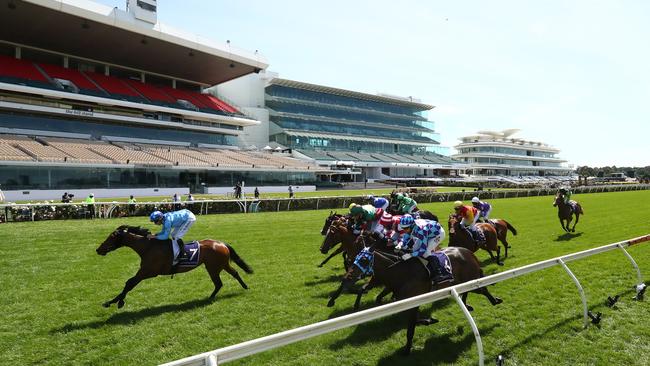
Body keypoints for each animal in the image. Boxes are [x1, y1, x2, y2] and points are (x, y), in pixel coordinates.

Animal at [95, 224, 252, 308]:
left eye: (111, 237)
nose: (98, 249)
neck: (148, 247)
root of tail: (221, 243)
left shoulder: (148, 272)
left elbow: (129, 283)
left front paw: (113, 302)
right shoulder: (145, 272)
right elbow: (129, 283)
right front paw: (115, 301)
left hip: (214, 267)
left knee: (220, 282)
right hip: (220, 265)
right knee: (232, 275)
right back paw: (243, 287)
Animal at [324, 246, 502, 354]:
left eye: (364, 260)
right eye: (354, 258)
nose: (346, 278)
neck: (401, 273)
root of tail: (469, 253)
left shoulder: (413, 302)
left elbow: (410, 328)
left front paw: (407, 350)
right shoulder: (405, 302)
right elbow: (413, 320)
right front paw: (430, 320)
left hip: (472, 279)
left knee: (482, 289)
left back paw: (494, 300)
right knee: (469, 291)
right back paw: (467, 304)